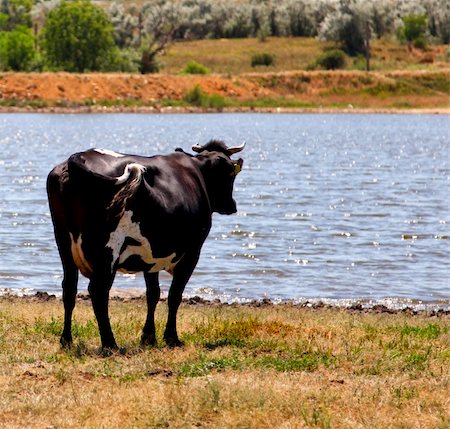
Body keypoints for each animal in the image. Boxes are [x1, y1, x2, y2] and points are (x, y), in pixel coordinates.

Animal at [47, 139, 244, 350]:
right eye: (231, 175)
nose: (232, 206)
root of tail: (79, 156)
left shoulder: (151, 256)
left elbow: (153, 294)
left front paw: (149, 337)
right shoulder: (192, 252)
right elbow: (174, 295)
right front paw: (171, 338)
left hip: (63, 242)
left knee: (69, 288)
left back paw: (66, 340)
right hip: (108, 251)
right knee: (99, 291)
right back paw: (110, 344)